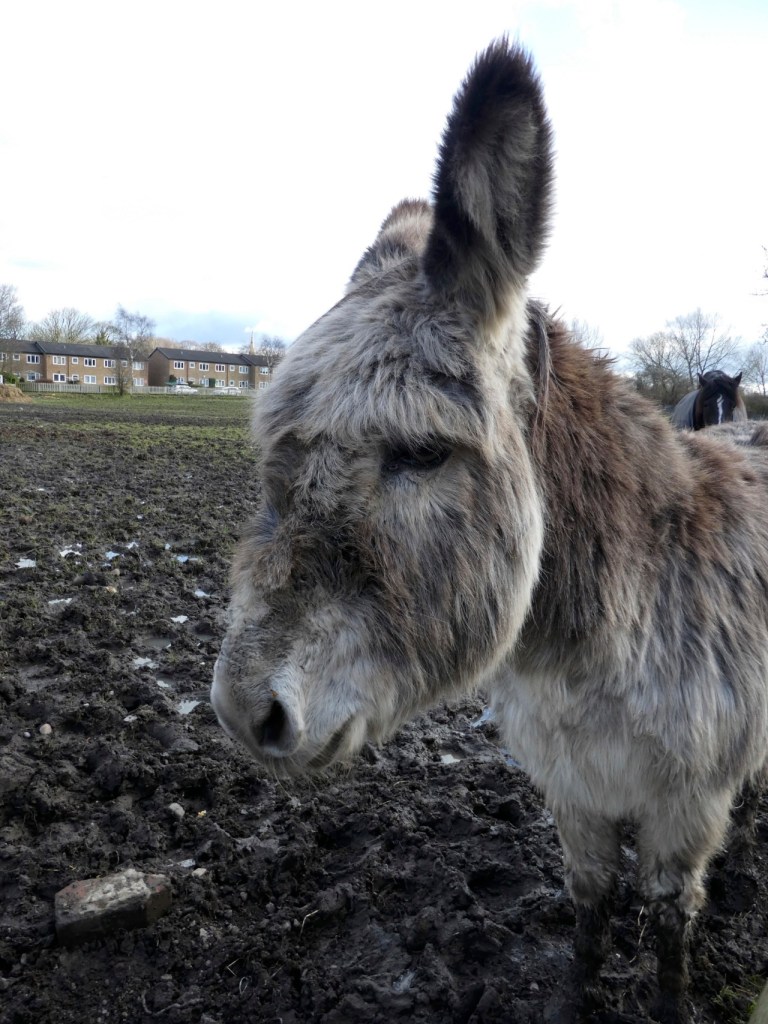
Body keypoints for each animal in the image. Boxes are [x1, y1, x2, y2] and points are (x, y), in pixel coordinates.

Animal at [211, 41, 768, 1024]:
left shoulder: (685, 808)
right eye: (273, 451)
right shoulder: (576, 794)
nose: (246, 715)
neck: (596, 645)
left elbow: (670, 926)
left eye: (424, 452)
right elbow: (589, 911)